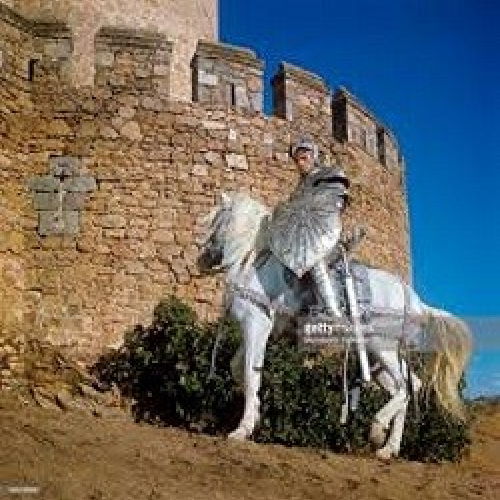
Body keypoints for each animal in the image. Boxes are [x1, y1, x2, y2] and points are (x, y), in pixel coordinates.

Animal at [197, 192, 470, 460]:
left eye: (215, 218)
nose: (200, 256)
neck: (253, 263)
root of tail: (413, 299)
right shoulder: (255, 329)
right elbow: (237, 368)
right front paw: (254, 415)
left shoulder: (256, 325)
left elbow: (250, 374)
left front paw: (242, 429)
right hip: (379, 358)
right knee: (408, 386)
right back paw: (388, 448)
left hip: (381, 345)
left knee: (403, 387)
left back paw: (377, 429)